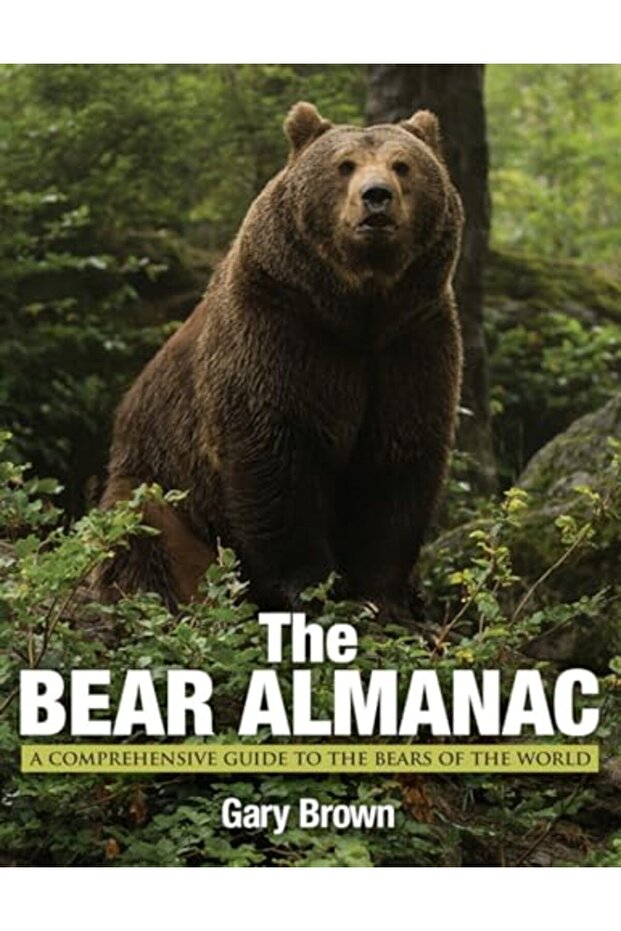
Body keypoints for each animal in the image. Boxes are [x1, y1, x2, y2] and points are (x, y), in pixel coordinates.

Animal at [98, 101, 464, 621]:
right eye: (344, 165)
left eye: (402, 165)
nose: (376, 198)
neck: (359, 310)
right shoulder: (279, 329)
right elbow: (275, 457)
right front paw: (313, 587)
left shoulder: (411, 341)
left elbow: (397, 462)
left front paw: (383, 598)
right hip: (163, 483)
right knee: (145, 531)